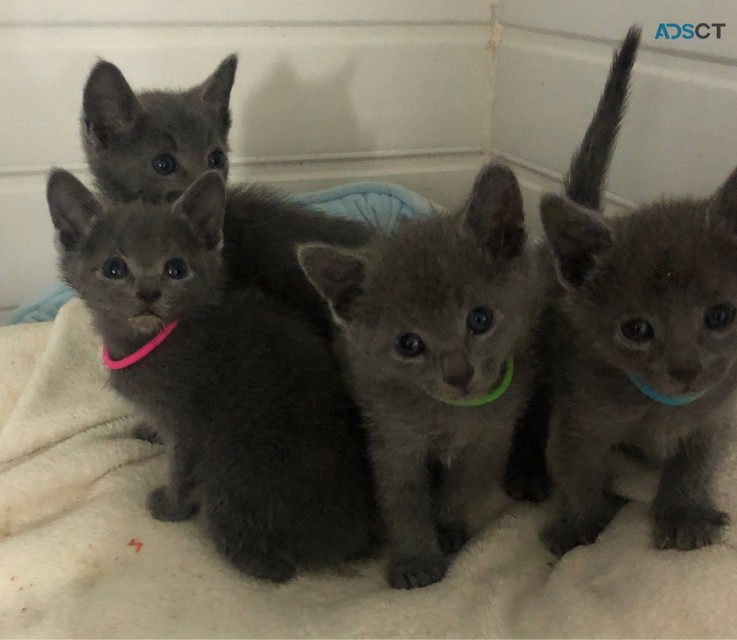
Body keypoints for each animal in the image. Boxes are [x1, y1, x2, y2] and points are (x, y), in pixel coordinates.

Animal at [296, 161, 548, 592]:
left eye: (480, 319)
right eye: (409, 344)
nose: (459, 374)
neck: (451, 414)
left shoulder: (491, 435)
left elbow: (464, 484)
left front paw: (446, 526)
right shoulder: (393, 437)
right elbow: (403, 497)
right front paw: (415, 559)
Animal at [536, 26, 732, 556]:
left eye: (720, 317)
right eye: (637, 330)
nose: (686, 369)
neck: (663, 409)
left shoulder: (716, 416)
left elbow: (696, 463)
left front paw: (685, 512)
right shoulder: (577, 418)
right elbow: (575, 473)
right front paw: (581, 526)